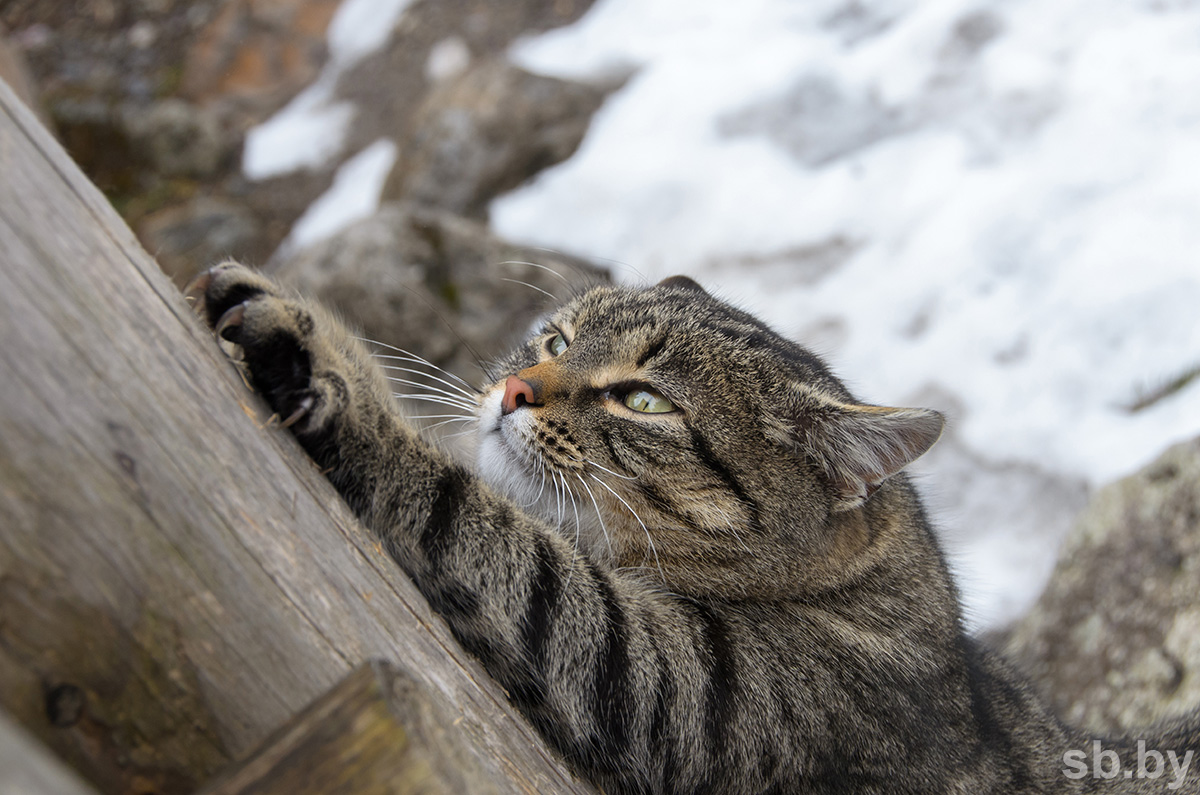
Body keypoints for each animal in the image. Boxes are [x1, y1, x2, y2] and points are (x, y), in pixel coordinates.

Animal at [189, 262, 1200, 795]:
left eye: (643, 400)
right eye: (556, 341)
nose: (512, 389)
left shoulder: (672, 682)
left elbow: (480, 524)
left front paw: (321, 357)